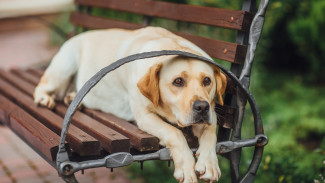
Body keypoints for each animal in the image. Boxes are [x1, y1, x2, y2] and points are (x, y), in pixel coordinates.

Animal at [33, 26, 225, 182]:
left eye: (207, 81)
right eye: (178, 81)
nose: (201, 107)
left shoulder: (212, 112)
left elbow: (210, 132)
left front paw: (209, 163)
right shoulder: (144, 116)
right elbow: (174, 133)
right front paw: (185, 168)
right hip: (64, 67)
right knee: (41, 86)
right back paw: (44, 98)